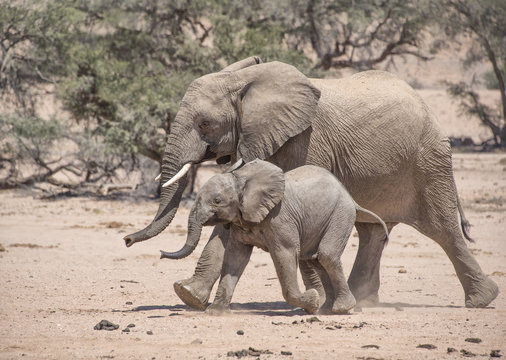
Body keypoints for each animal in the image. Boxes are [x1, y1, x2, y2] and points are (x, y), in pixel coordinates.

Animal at [160, 159, 390, 314]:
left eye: (217, 201)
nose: (161, 253)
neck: (243, 179)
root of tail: (352, 199)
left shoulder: (280, 219)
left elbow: (284, 255)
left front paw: (311, 300)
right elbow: (235, 257)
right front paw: (216, 312)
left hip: (340, 214)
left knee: (327, 256)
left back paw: (341, 308)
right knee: (315, 259)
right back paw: (326, 310)